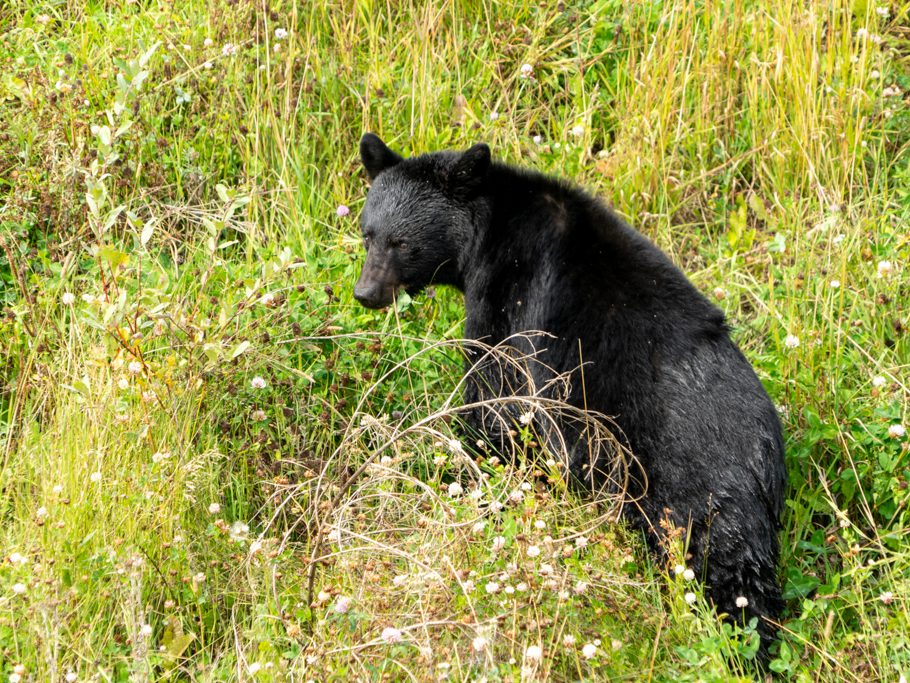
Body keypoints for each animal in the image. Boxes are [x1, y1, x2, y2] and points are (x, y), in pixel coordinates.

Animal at [356, 134, 792, 656]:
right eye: (367, 233)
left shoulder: (510, 297)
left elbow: (495, 398)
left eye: (402, 242)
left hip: (688, 483)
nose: (365, 292)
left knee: (723, 567)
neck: (489, 232)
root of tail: (764, 453)